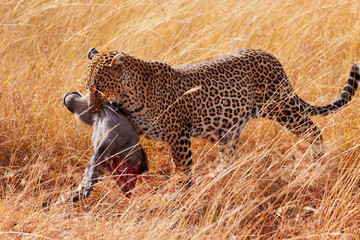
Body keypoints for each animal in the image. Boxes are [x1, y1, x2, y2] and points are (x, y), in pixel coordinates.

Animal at [83, 47, 360, 176]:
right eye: (86, 87)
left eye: (98, 87)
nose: (91, 109)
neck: (131, 95)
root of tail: (272, 58)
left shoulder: (179, 135)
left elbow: (183, 170)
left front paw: (182, 198)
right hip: (228, 130)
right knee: (229, 155)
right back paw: (220, 175)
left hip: (284, 109)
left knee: (314, 131)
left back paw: (317, 163)